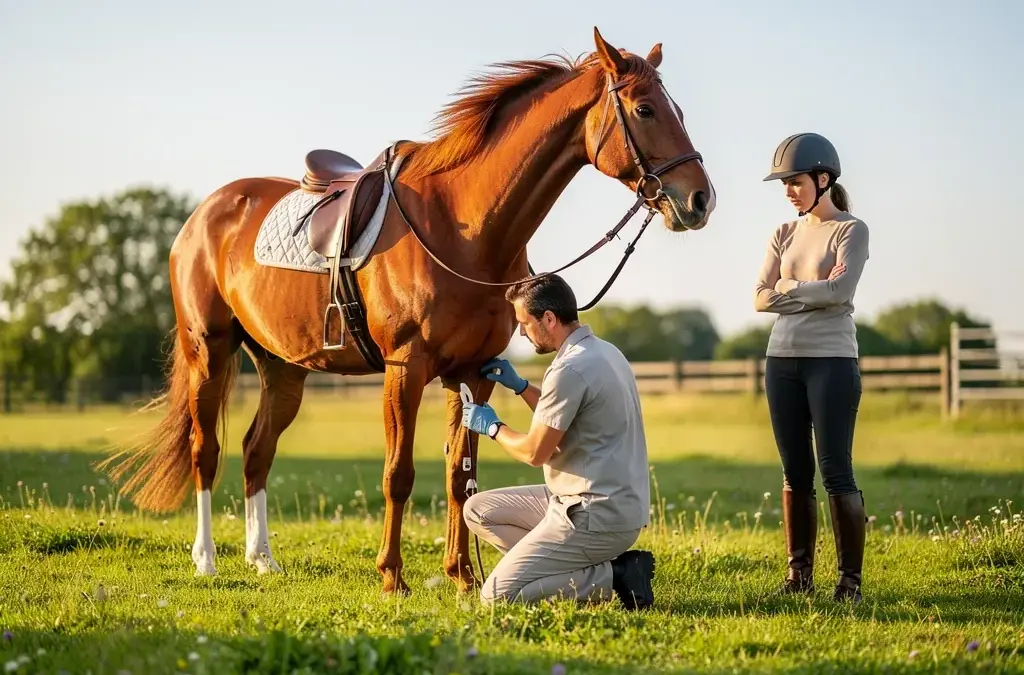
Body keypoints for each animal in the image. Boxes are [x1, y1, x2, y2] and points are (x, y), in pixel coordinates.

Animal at [97, 27, 716, 595]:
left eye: (680, 110)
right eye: (645, 109)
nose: (700, 199)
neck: (461, 228)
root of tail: (204, 213)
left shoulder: (474, 374)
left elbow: (460, 479)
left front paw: (461, 577)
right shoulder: (405, 369)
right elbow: (399, 474)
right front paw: (392, 576)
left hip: (284, 369)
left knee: (256, 452)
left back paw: (263, 560)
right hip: (209, 351)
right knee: (207, 452)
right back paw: (206, 560)